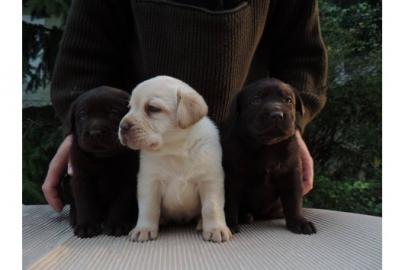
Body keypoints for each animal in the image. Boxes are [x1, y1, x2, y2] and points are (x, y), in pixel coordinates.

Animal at [118, 75, 232, 243]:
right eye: (130, 107)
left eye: (152, 108)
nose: (122, 126)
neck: (175, 149)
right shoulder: (150, 181)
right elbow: (149, 207)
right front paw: (144, 229)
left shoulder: (210, 180)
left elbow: (211, 207)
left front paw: (216, 229)